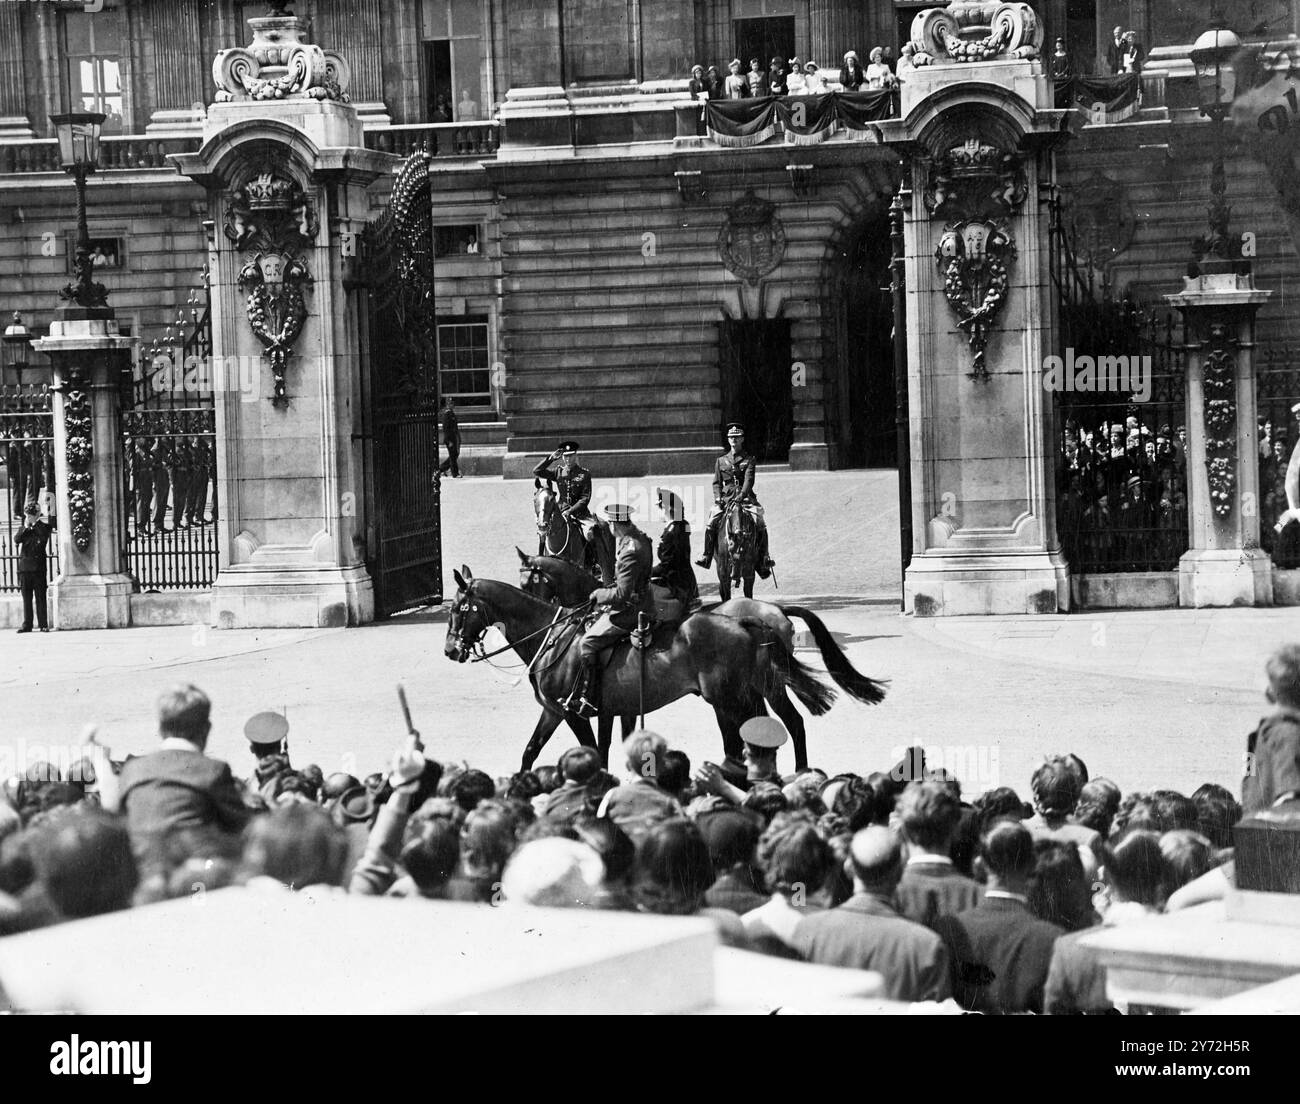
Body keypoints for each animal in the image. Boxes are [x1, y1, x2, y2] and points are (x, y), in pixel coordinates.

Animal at [444, 564, 852, 769]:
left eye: (458, 609)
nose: (450, 650)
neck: (553, 635)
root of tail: (751, 618)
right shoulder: (582, 711)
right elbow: (535, 751)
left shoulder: (569, 712)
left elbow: (592, 751)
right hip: (748, 693)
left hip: (734, 697)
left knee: (755, 738)